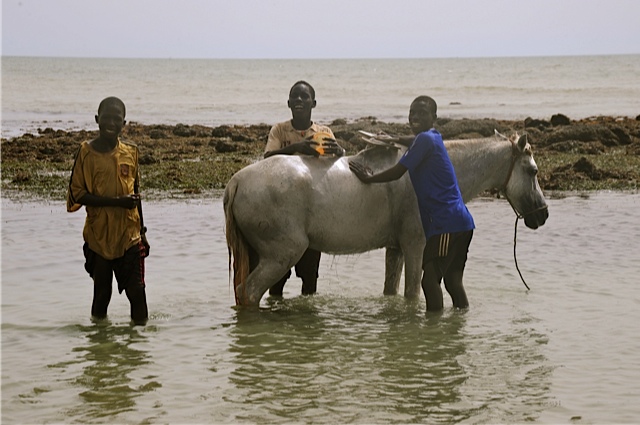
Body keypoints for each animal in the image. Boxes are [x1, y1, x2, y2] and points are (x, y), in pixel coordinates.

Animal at [224, 133, 544, 304]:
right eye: (533, 171)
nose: (542, 214)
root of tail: (236, 181)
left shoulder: (396, 249)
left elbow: (391, 291)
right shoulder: (415, 246)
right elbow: (413, 294)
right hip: (281, 255)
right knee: (249, 292)